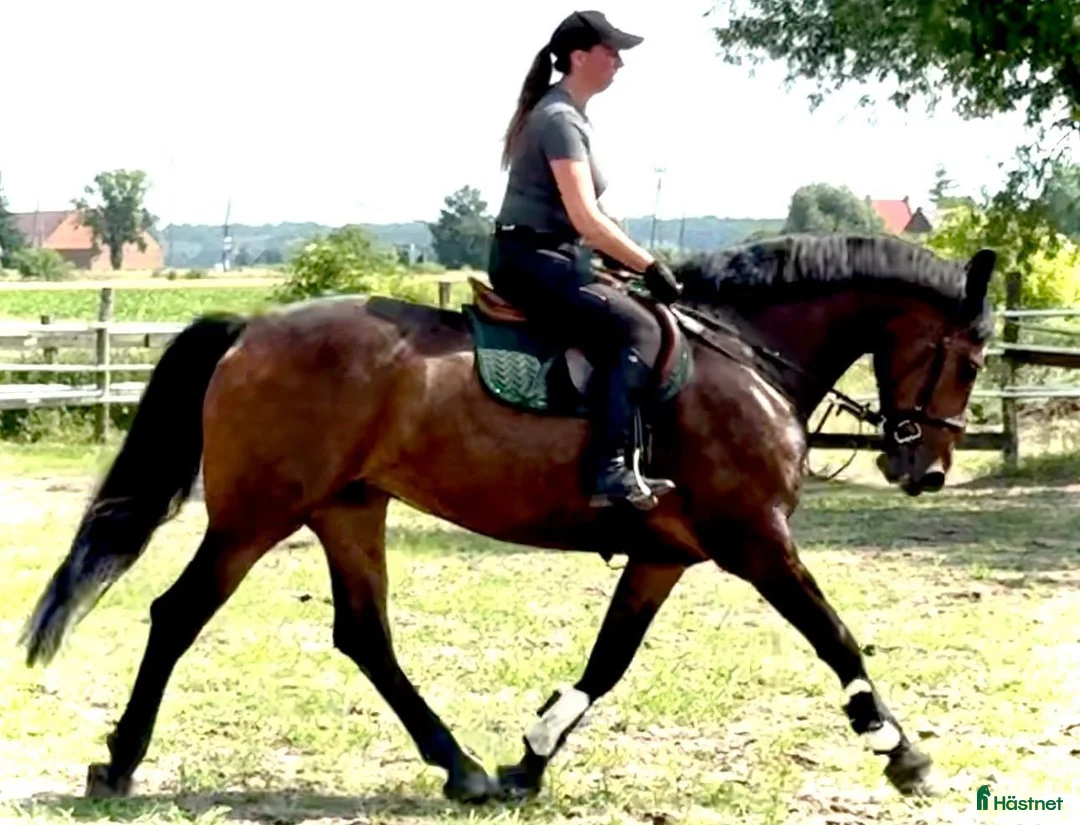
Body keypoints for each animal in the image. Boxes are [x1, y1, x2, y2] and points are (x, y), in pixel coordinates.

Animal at [19, 232, 997, 805]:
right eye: (971, 358)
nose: (925, 468)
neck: (747, 358)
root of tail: (251, 328)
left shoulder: (666, 555)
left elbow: (608, 661)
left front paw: (531, 757)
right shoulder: (754, 538)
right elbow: (835, 636)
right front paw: (901, 750)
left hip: (347, 508)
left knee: (363, 634)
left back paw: (463, 768)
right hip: (257, 514)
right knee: (178, 613)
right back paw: (118, 763)